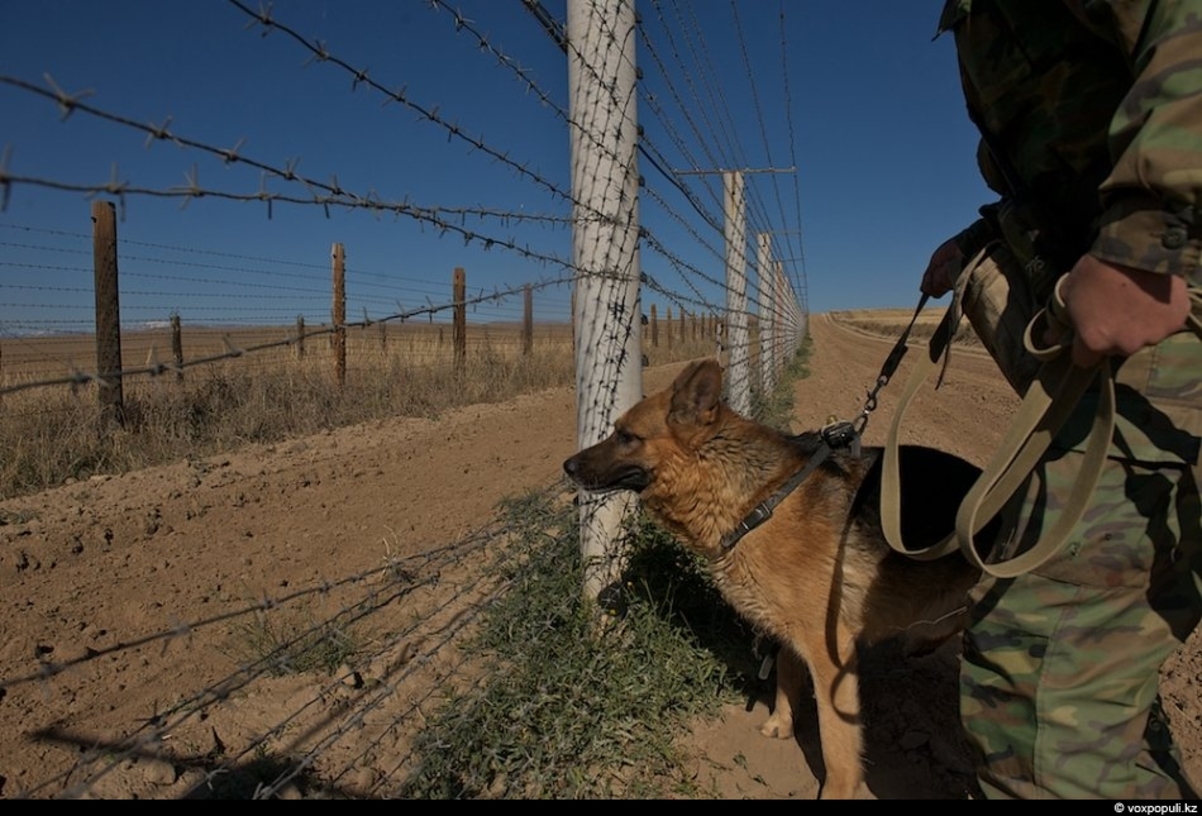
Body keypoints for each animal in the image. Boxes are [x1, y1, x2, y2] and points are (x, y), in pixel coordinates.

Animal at [562, 360, 985, 802]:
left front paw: (836, 791)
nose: (566, 466)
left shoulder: (829, 650)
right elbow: (785, 673)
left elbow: (835, 741)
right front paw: (782, 724)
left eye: (627, 436)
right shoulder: (788, 629)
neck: (758, 500)